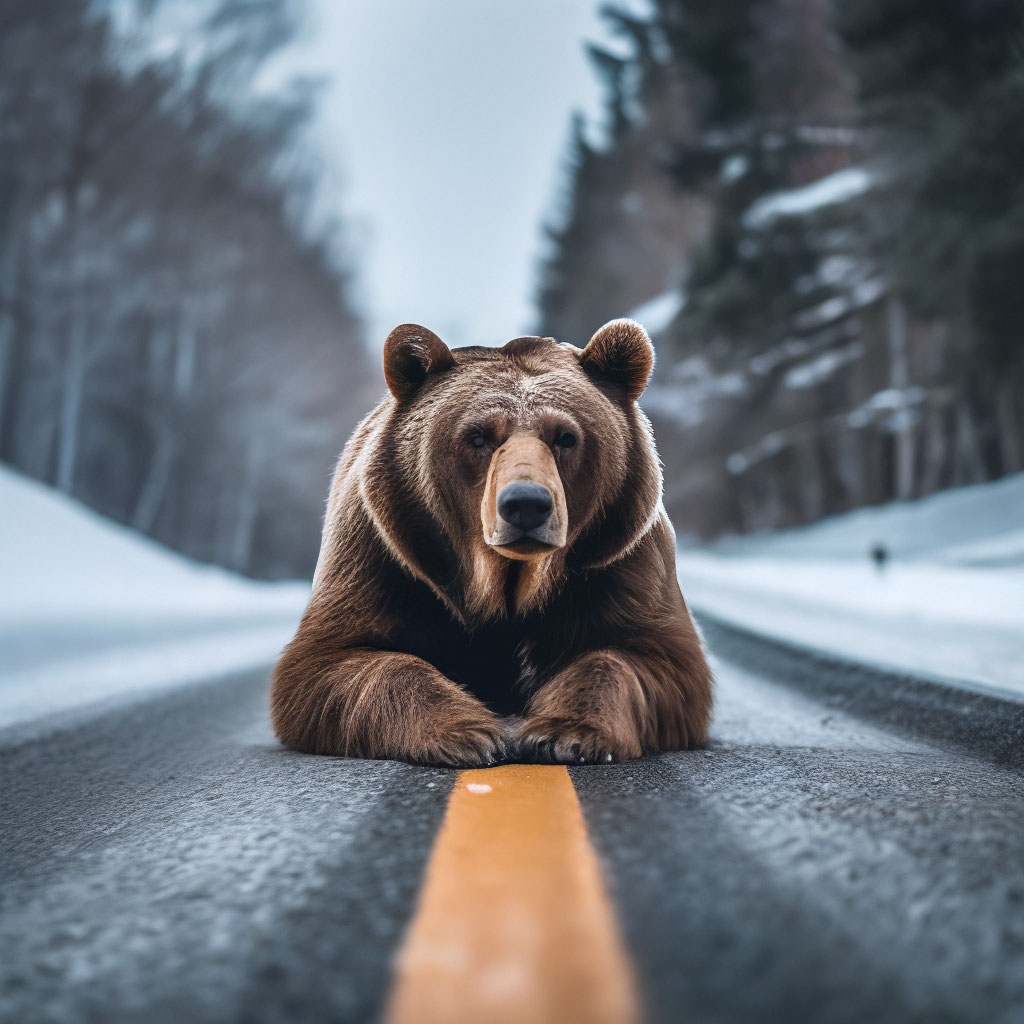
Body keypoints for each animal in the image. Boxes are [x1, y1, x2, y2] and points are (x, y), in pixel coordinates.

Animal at [270, 319, 713, 766]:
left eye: (566, 436)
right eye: (478, 437)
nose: (526, 505)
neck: (506, 583)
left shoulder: (617, 560)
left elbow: (647, 658)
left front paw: (564, 732)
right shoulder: (384, 555)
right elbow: (333, 661)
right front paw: (468, 733)